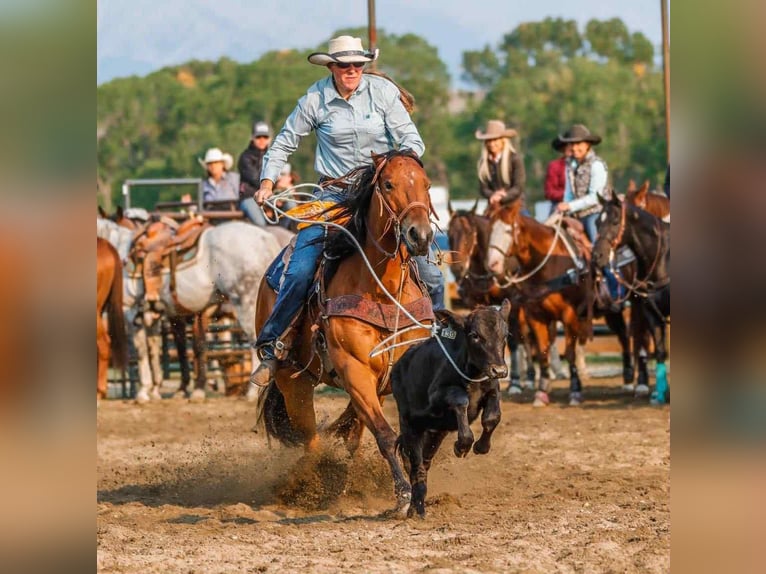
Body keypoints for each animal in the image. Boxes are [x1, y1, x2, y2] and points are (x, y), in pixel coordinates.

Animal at [255, 150, 437, 514]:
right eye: (388, 184)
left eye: (426, 185)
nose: (420, 236)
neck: (382, 291)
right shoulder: (354, 367)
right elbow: (384, 434)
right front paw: (403, 495)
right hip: (293, 382)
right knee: (311, 440)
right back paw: (315, 484)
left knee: (350, 432)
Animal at [486, 199, 633, 406]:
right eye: (490, 228)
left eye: (508, 230)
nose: (492, 265)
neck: (548, 266)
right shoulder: (535, 317)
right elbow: (543, 353)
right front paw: (541, 391)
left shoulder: (569, 315)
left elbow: (570, 354)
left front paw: (575, 390)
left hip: (614, 310)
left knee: (624, 336)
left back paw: (629, 380)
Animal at [593, 195, 670, 404]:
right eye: (596, 222)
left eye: (614, 221)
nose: (597, 255)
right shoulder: (652, 314)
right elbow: (660, 351)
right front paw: (661, 394)